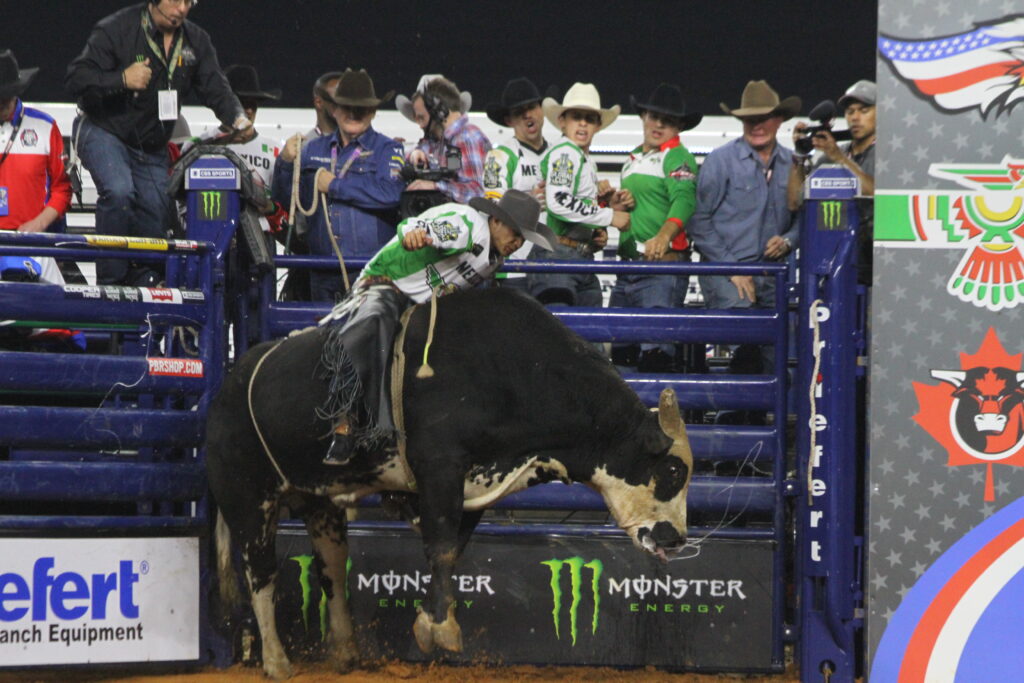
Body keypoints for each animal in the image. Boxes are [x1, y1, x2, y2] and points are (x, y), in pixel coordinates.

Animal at [207, 288, 692, 679]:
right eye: (673, 472)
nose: (676, 539)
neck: (513, 371)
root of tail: (231, 382)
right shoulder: (440, 468)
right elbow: (440, 546)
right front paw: (441, 629)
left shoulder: (475, 485)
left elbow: (452, 549)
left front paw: (428, 620)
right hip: (248, 498)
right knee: (261, 574)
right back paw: (276, 661)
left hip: (318, 502)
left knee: (332, 568)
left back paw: (345, 654)